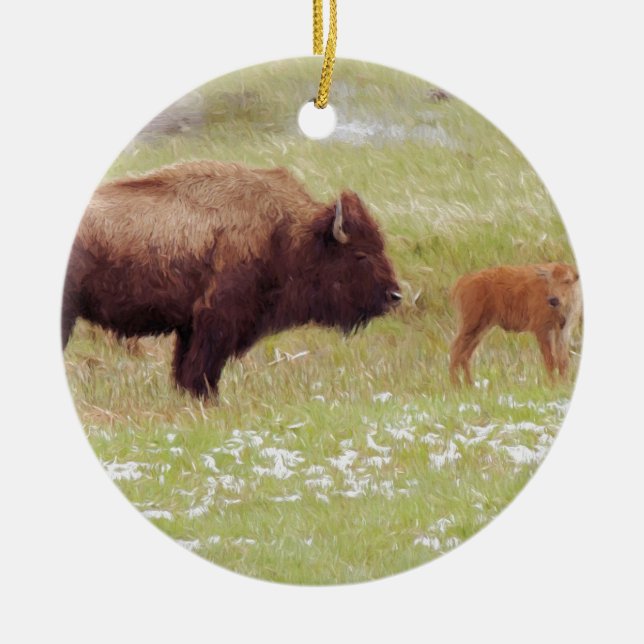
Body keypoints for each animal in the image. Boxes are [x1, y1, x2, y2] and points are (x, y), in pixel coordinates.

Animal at [62, 161, 402, 397]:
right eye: (360, 255)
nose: (394, 296)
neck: (287, 233)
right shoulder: (216, 322)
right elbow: (200, 370)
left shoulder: (191, 328)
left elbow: (187, 369)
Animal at [449, 263, 581, 385]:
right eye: (549, 282)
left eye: (567, 281)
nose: (553, 299)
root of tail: (462, 281)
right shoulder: (542, 329)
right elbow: (550, 360)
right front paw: (553, 385)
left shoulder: (563, 331)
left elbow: (563, 360)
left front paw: (564, 384)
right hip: (471, 324)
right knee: (456, 349)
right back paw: (456, 387)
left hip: (481, 328)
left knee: (465, 354)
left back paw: (470, 386)